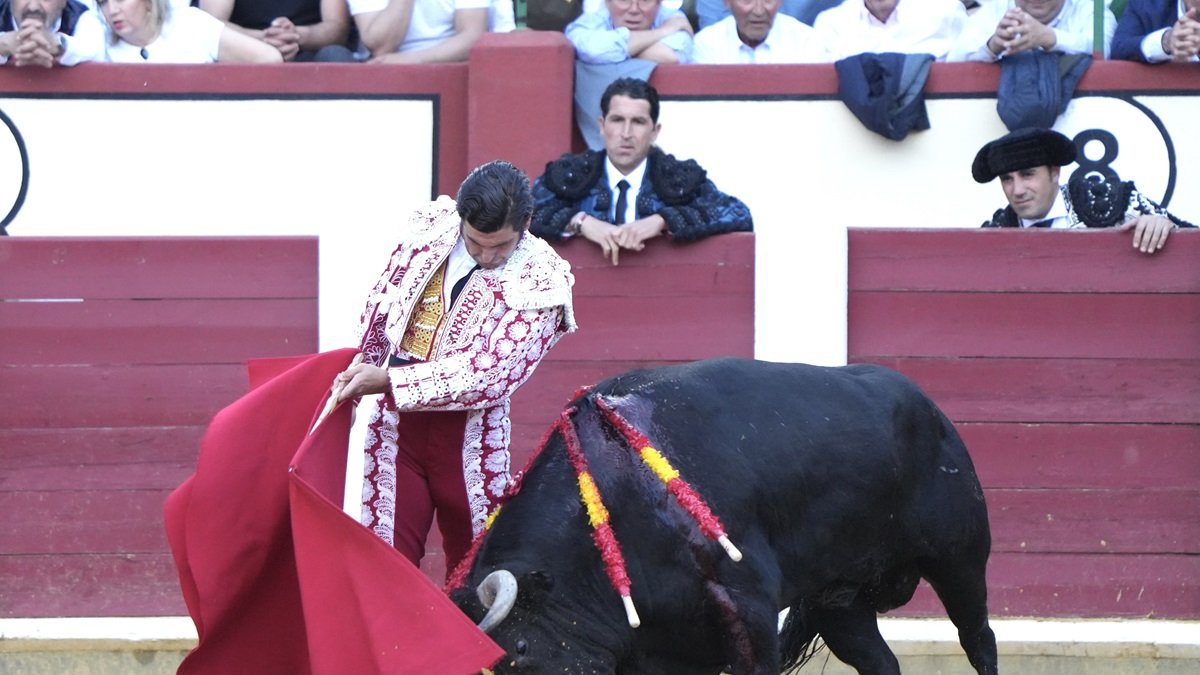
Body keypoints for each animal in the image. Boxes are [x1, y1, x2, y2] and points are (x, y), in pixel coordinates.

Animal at [451, 357, 993, 672]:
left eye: (519, 652)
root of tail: (931, 409)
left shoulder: (748, 608)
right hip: (838, 598)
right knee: (879, 661)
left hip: (960, 557)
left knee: (978, 637)